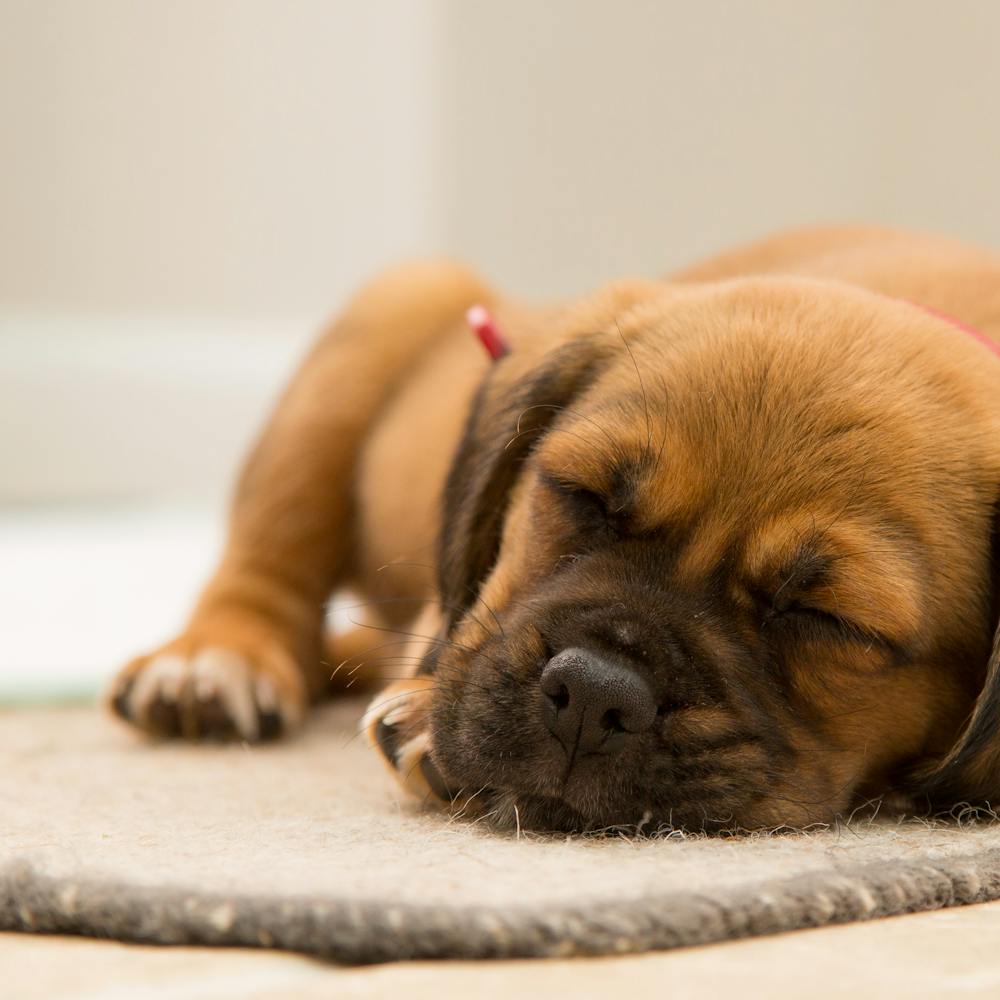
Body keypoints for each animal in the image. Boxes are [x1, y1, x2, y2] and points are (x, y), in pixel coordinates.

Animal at [107, 227, 1000, 836]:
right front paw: (426, 711)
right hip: (388, 316)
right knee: (270, 562)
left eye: (825, 618)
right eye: (581, 496)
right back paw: (215, 661)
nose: (595, 696)